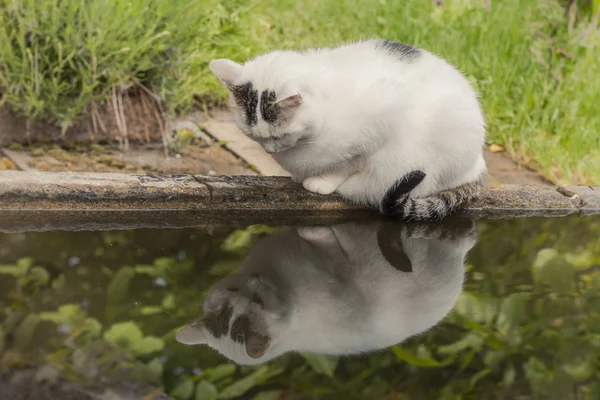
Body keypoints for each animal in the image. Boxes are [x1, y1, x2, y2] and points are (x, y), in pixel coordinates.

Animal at [176, 220, 476, 364]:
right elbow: (320, 237)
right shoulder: (339, 266)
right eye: (257, 300)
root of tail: (459, 260)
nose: (255, 280)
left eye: (250, 296)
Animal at [209, 39, 486, 220]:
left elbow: (348, 163)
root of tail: (477, 164)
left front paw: (321, 180)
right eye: (254, 136)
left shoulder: (383, 118)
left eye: (280, 136)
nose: (269, 151)